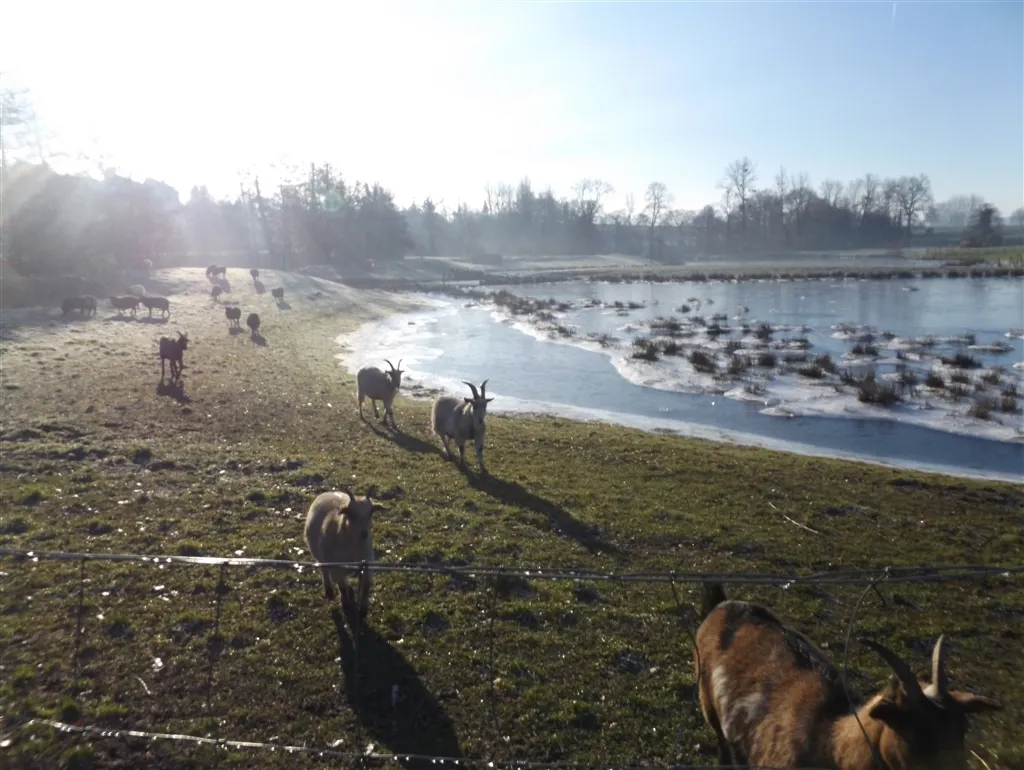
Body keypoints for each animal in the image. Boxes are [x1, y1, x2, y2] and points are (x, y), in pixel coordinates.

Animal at [303, 488, 382, 620]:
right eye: (350, 513)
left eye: (371, 512)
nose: (364, 533)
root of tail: (329, 492)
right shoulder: (336, 567)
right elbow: (342, 587)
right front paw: (346, 605)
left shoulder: (367, 564)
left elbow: (365, 587)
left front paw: (363, 610)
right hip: (320, 557)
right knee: (324, 570)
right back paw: (329, 590)